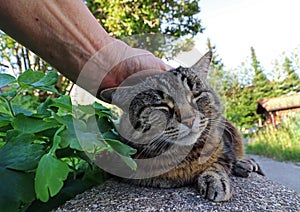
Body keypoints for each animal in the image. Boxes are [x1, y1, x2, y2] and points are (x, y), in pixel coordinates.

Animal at [99, 51, 264, 202]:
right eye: (162, 105)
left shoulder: (223, 149)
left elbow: (217, 165)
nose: (189, 119)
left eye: (196, 95)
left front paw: (216, 179)